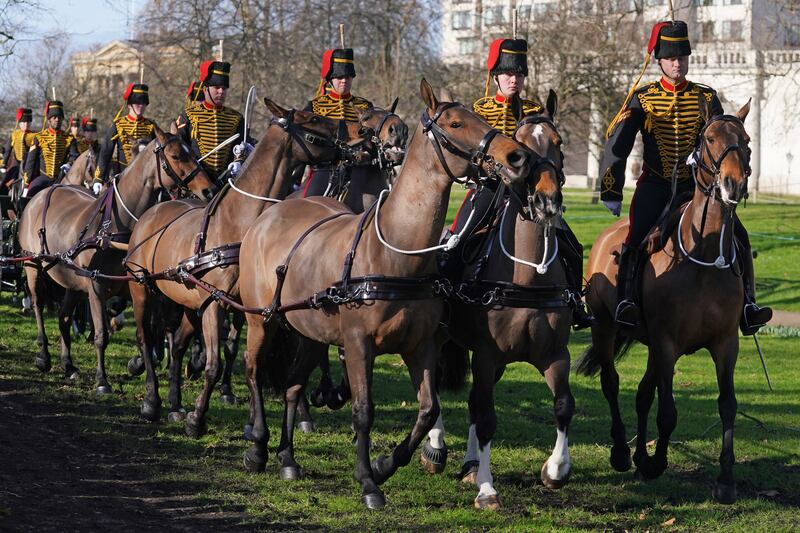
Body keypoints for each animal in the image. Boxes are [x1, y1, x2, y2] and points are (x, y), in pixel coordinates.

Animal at [16, 124, 216, 390]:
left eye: (191, 152)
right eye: (175, 156)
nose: (208, 189)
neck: (114, 226)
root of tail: (42, 194)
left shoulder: (137, 285)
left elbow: (149, 330)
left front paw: (138, 363)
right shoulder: (96, 286)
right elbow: (102, 334)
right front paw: (102, 380)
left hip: (71, 281)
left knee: (64, 316)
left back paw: (68, 365)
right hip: (33, 265)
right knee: (38, 304)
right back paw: (43, 356)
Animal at [123, 98, 374, 428]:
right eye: (313, 119)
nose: (363, 130)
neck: (240, 223)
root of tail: (151, 214)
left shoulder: (255, 310)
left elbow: (252, 357)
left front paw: (255, 420)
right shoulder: (216, 304)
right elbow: (215, 365)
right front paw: (198, 418)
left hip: (190, 303)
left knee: (176, 345)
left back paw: (175, 403)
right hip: (141, 289)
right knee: (144, 337)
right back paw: (152, 401)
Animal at [238, 79, 536, 508]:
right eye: (457, 123)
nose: (516, 156)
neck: (396, 251)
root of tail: (271, 214)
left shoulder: (420, 347)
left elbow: (427, 410)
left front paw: (385, 464)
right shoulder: (358, 344)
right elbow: (363, 411)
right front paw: (368, 480)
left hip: (312, 333)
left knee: (293, 385)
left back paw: (288, 458)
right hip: (261, 319)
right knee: (254, 371)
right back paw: (259, 447)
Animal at [418, 93, 576, 510]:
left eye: (559, 142)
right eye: (521, 145)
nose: (546, 199)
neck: (527, 275)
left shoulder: (556, 355)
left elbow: (563, 406)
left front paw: (556, 471)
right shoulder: (487, 354)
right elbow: (487, 417)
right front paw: (487, 489)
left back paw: (471, 463)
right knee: (436, 386)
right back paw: (436, 448)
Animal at [576, 97, 752, 500]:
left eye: (747, 140)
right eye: (710, 139)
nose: (733, 184)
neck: (704, 257)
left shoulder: (725, 344)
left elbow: (728, 405)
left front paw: (726, 480)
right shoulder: (667, 343)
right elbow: (668, 412)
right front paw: (656, 463)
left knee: (643, 393)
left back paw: (639, 455)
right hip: (606, 328)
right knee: (612, 383)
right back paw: (622, 452)